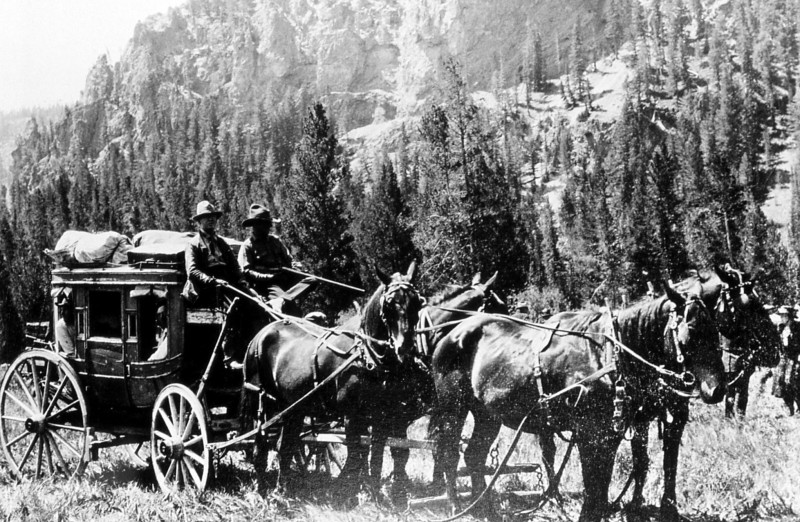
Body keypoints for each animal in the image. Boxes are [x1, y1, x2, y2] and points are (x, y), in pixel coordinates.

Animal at [241, 262, 424, 494]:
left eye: (417, 302)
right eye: (390, 303)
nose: (405, 346)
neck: (366, 354)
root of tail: (260, 334)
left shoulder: (382, 416)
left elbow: (377, 458)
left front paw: (374, 494)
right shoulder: (353, 416)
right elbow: (356, 457)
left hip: (293, 407)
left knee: (286, 445)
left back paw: (282, 489)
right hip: (261, 402)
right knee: (260, 446)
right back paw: (261, 489)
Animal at [428, 280, 720, 520]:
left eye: (715, 331)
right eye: (690, 333)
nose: (717, 389)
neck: (609, 356)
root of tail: (449, 334)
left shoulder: (610, 435)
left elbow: (601, 489)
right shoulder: (589, 435)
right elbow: (593, 491)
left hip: (487, 415)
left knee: (474, 456)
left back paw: (485, 509)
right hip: (453, 409)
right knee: (448, 453)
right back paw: (455, 505)